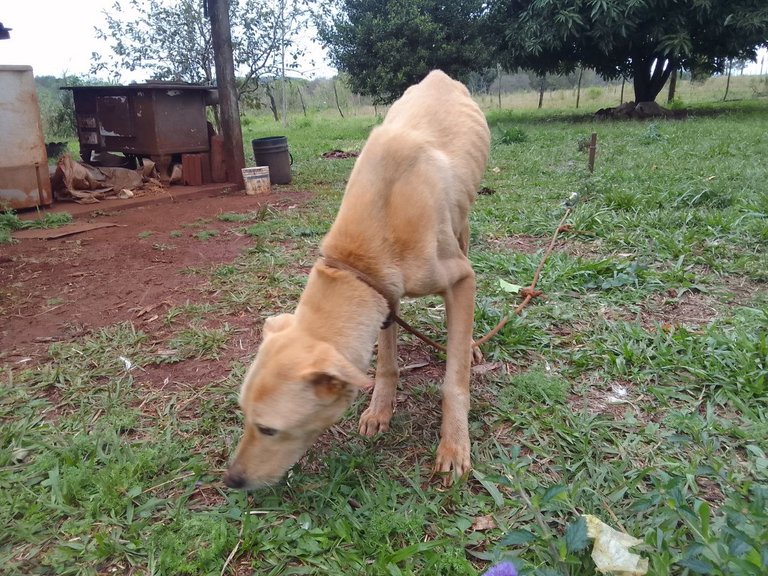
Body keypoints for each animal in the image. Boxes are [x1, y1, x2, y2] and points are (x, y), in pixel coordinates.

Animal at [222, 70, 488, 488]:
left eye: (268, 429)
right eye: (244, 415)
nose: (231, 480)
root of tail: (438, 76)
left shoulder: (460, 279)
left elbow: (454, 379)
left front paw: (454, 445)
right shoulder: (383, 292)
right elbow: (386, 363)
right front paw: (380, 409)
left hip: (461, 228)